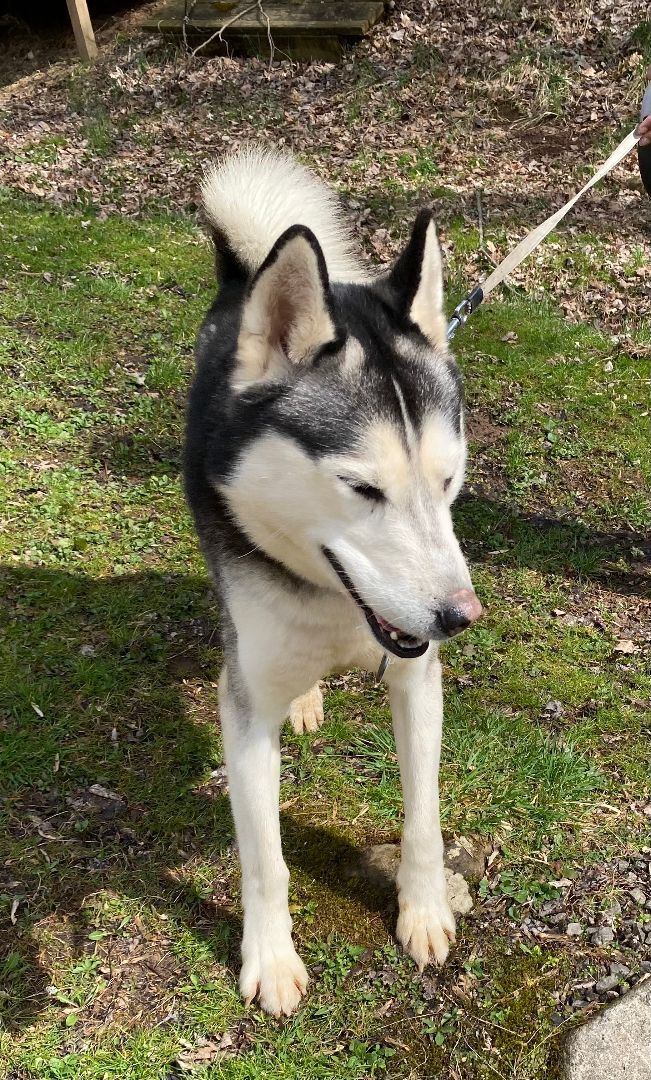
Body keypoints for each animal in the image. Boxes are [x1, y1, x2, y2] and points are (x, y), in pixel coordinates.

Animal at [183, 147, 483, 1015]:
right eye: (362, 489)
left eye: (448, 481)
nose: (460, 617)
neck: (334, 605)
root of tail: (243, 272)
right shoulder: (243, 708)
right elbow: (265, 860)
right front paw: (270, 959)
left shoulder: (418, 683)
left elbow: (422, 819)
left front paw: (422, 910)